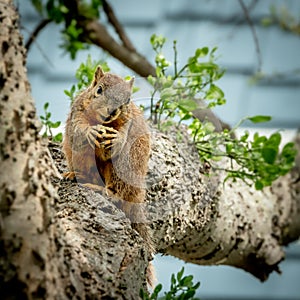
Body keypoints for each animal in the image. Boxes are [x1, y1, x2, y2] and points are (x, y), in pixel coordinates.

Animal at [61, 65, 155, 286]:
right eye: (99, 90)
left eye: (128, 100)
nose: (112, 110)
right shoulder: (77, 112)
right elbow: (79, 131)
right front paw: (91, 132)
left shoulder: (127, 122)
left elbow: (121, 138)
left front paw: (117, 139)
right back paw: (74, 175)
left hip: (126, 167)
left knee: (116, 192)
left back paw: (102, 189)